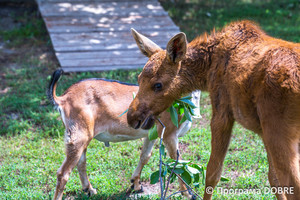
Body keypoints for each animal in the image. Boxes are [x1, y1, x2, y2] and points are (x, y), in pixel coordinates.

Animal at [126, 20, 300, 200]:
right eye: (139, 79)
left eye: (158, 85)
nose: (131, 117)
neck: (206, 71)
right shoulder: (262, 131)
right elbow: (273, 179)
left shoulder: (221, 113)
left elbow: (212, 173)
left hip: (279, 132)